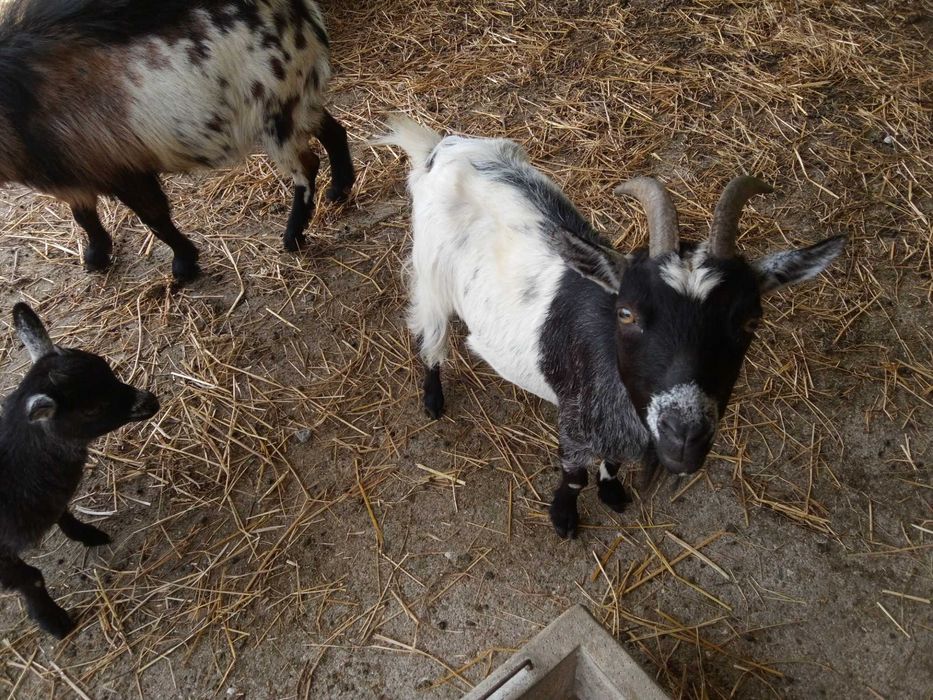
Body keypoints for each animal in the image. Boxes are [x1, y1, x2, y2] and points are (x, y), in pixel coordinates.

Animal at [0, 0, 355, 282]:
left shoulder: (124, 168)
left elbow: (154, 217)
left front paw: (184, 264)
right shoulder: (76, 171)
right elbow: (83, 215)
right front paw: (96, 255)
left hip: (277, 110)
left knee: (306, 167)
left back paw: (293, 236)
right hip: (297, 100)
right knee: (332, 130)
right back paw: (339, 187)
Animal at [0, 303, 159, 638]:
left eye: (108, 368)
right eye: (91, 409)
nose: (150, 402)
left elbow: (64, 512)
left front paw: (88, 533)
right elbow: (31, 578)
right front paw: (54, 622)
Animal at [375, 116, 846, 538]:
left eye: (749, 320)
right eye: (627, 313)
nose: (684, 437)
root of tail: (441, 148)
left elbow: (613, 463)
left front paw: (613, 491)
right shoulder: (575, 423)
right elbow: (573, 476)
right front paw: (564, 517)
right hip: (430, 274)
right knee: (430, 334)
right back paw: (433, 398)